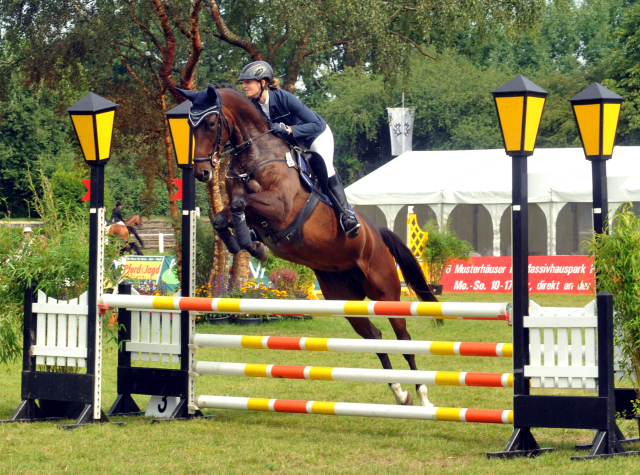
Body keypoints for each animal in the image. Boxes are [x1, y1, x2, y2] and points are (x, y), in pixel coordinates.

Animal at [178, 84, 442, 406]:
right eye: (190, 125)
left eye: (211, 122)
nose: (202, 173)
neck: (255, 157)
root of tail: (376, 234)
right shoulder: (247, 209)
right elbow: (222, 216)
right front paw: (249, 245)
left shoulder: (279, 207)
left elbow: (240, 203)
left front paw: (251, 244)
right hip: (345, 299)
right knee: (376, 337)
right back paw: (399, 392)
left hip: (385, 292)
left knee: (403, 338)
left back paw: (423, 396)